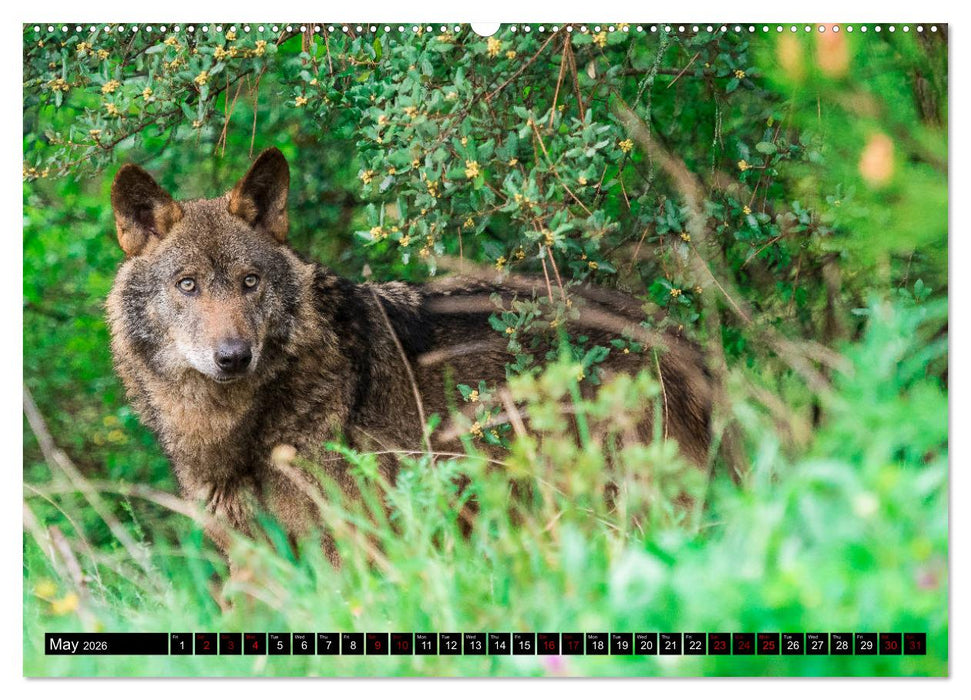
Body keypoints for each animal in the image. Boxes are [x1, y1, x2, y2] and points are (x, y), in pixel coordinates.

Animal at [106, 148, 718, 559]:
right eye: (187, 285)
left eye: (250, 282)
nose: (234, 357)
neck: (236, 429)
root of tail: (676, 334)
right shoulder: (252, 557)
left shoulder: (349, 543)